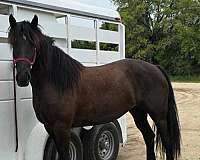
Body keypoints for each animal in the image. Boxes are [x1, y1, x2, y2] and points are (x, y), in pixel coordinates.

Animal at [8, 14, 181, 159]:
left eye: (33, 43)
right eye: (13, 43)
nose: (22, 77)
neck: (56, 82)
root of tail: (155, 68)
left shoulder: (61, 128)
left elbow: (65, 155)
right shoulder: (49, 127)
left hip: (159, 115)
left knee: (167, 141)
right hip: (138, 112)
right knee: (149, 137)